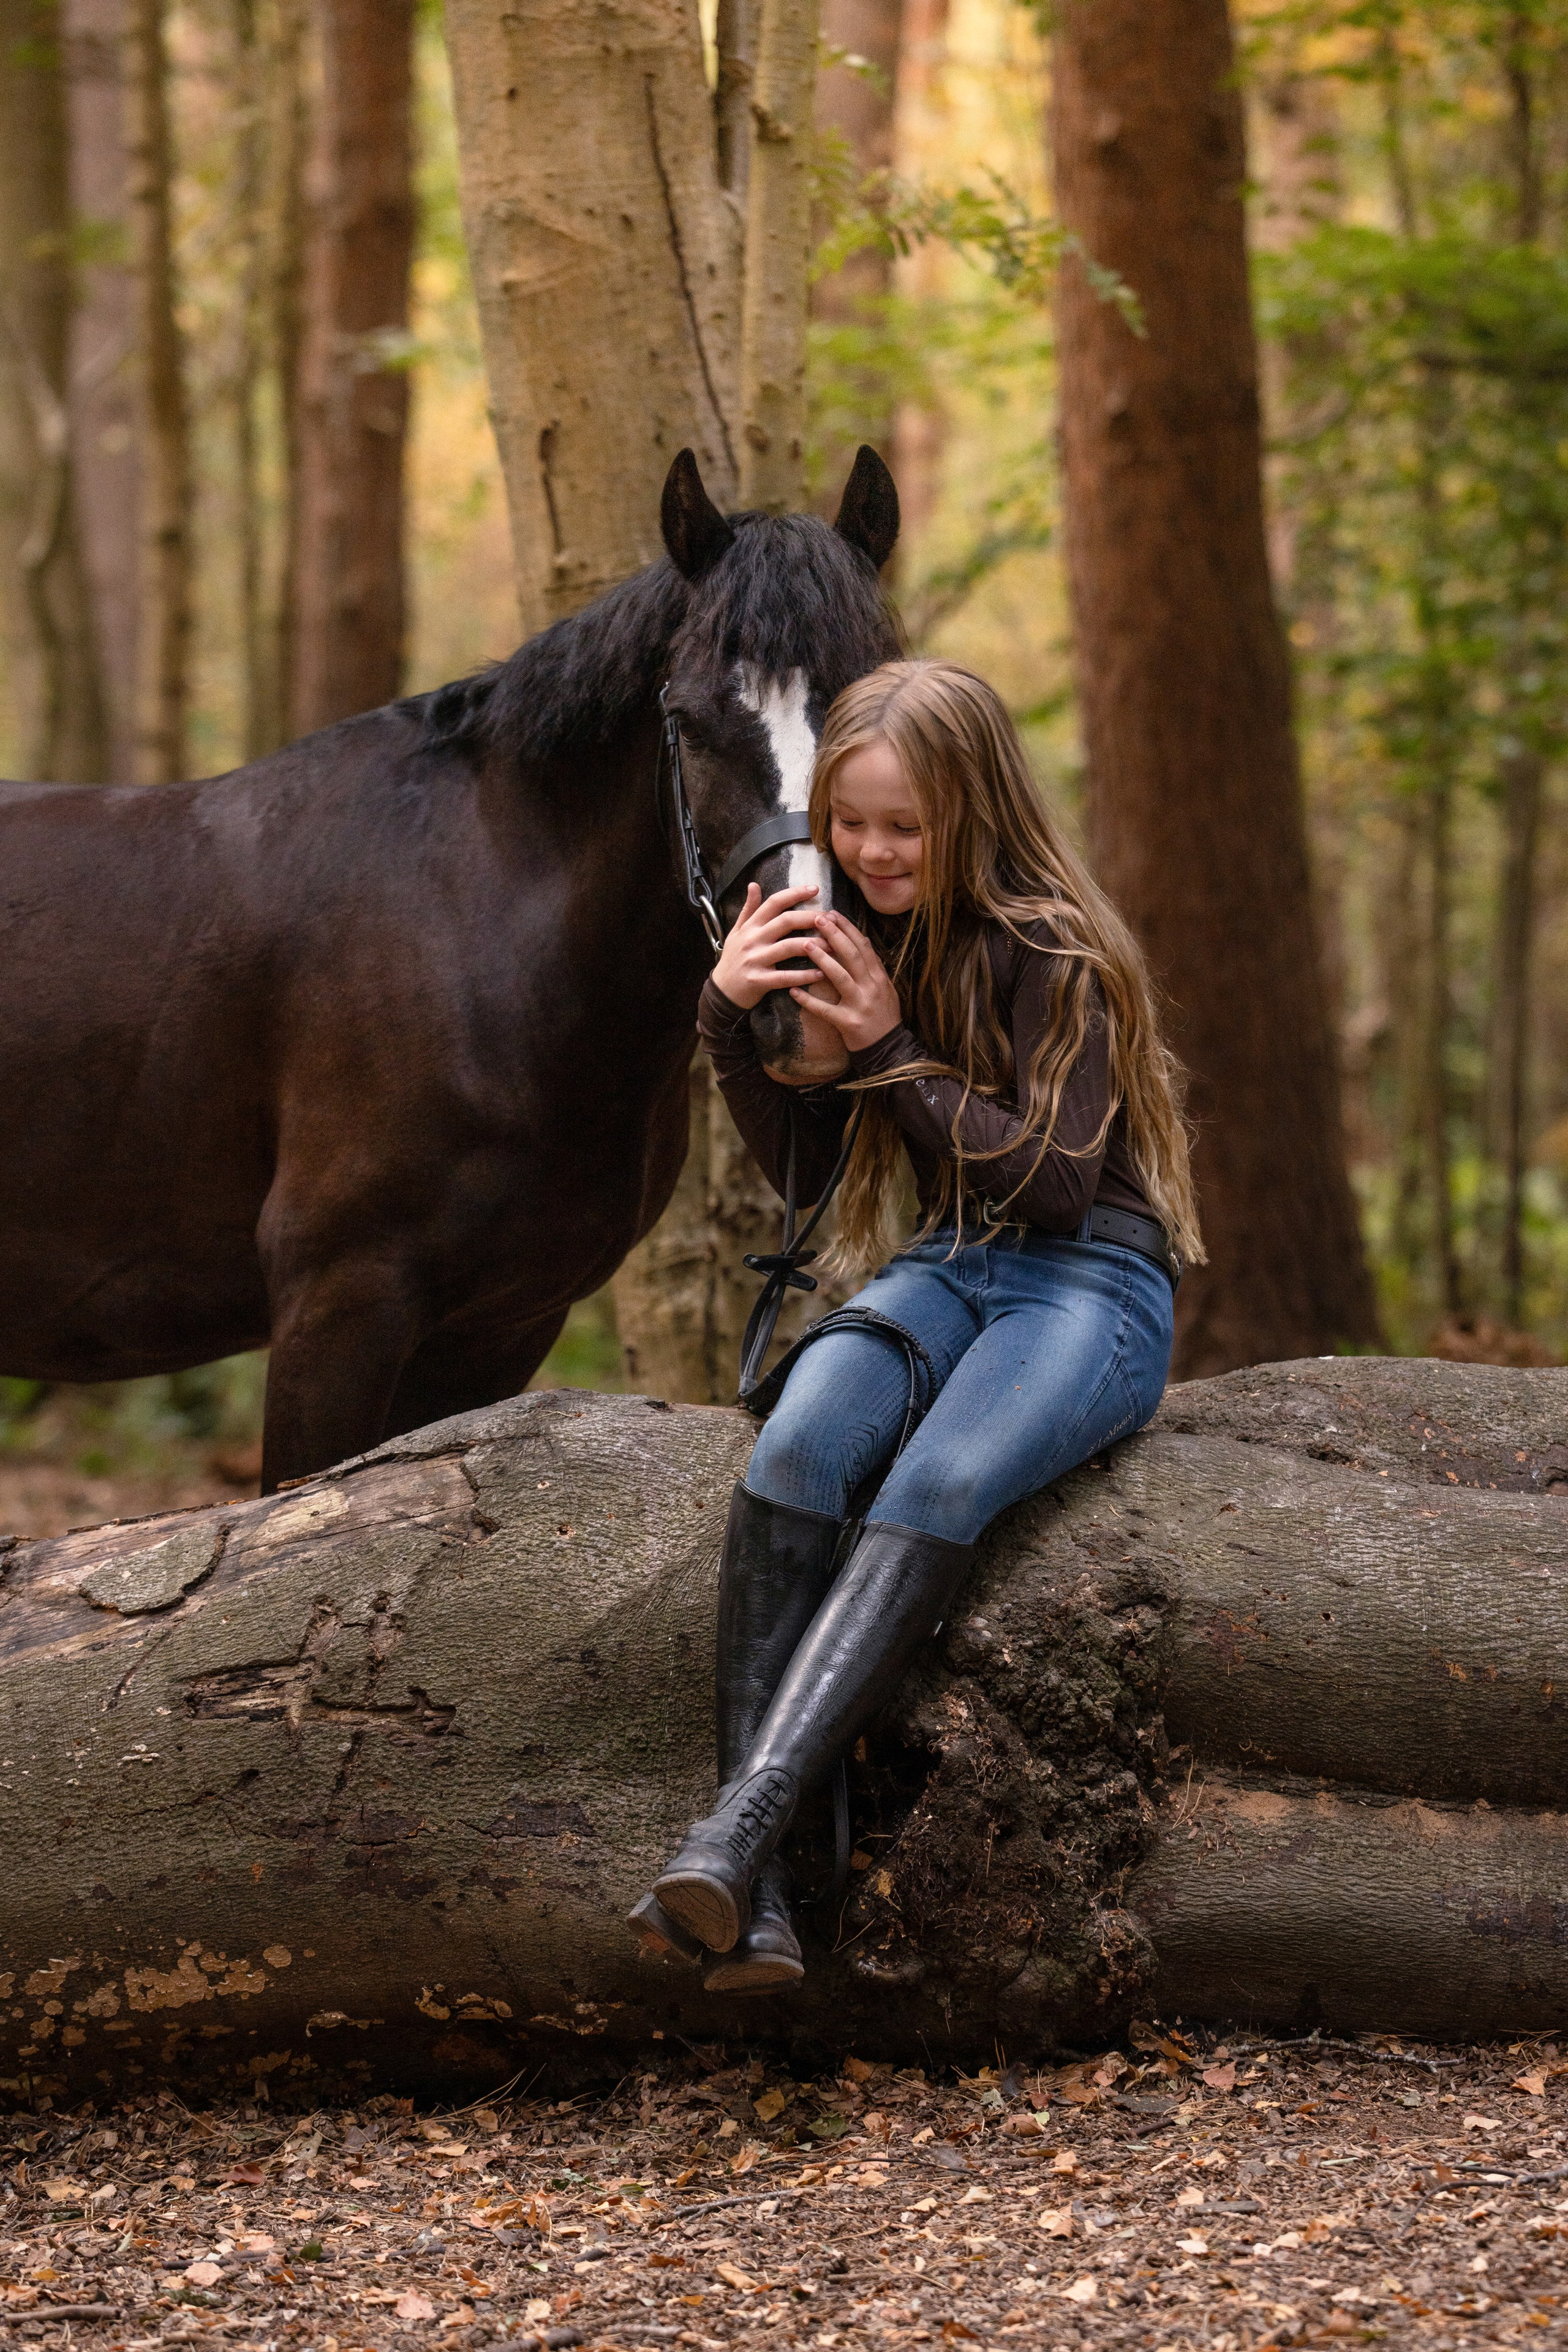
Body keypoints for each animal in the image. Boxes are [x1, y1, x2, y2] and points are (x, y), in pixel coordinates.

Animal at [0, 447, 901, 1492]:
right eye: (691, 718)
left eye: (886, 704)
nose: (812, 1003)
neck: (483, 942)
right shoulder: (339, 1305)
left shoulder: (499, 1329)